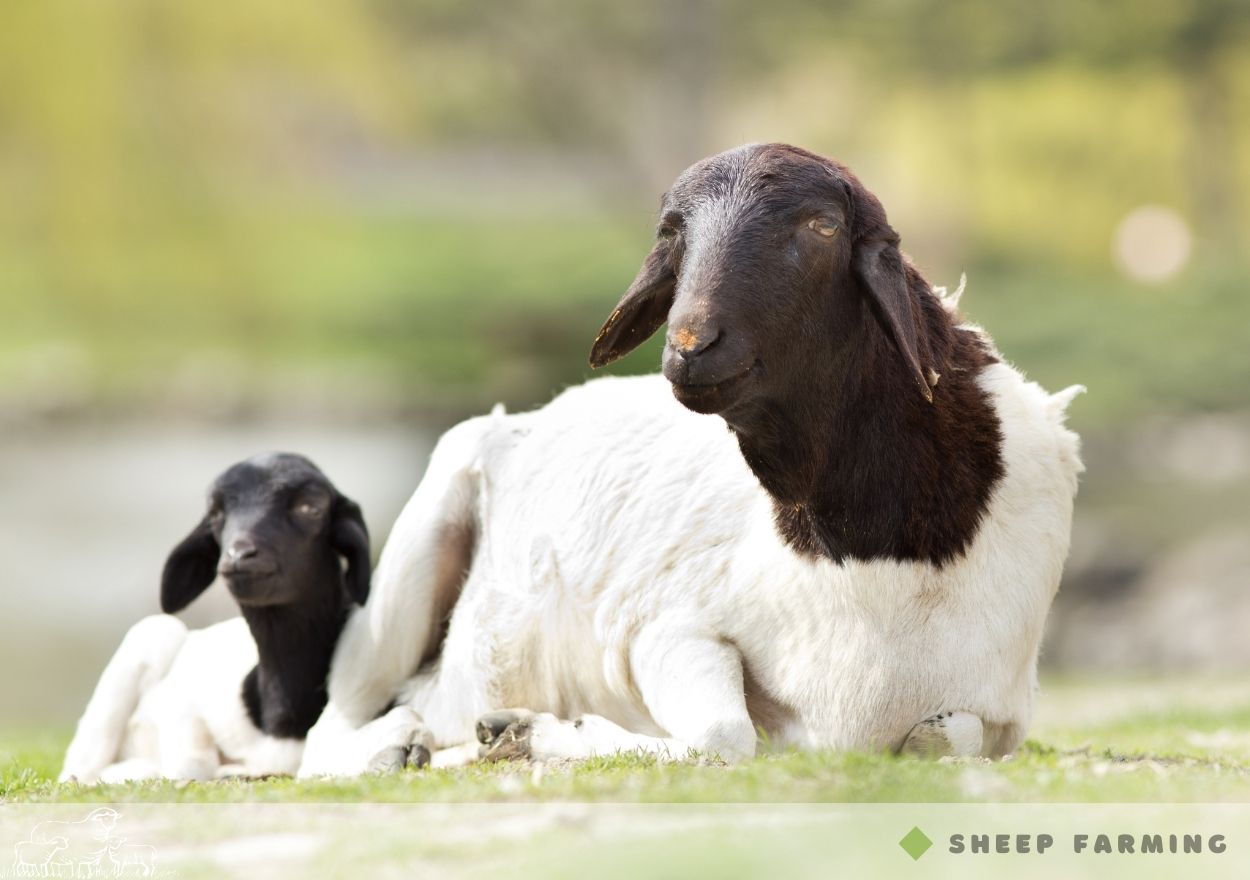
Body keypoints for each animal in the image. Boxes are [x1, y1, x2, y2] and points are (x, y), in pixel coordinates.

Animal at [58, 455, 422, 785]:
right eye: (216, 514)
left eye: (310, 507)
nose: (239, 555)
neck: (281, 711)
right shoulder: (181, 703)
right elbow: (191, 758)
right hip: (151, 635)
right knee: (79, 770)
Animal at [295, 144, 1085, 775]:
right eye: (673, 233)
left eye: (823, 226)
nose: (690, 346)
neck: (874, 555)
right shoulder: (667, 631)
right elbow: (724, 736)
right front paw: (529, 732)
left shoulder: (999, 713)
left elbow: (948, 737)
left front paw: (516, 732)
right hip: (403, 579)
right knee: (330, 729)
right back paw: (395, 745)